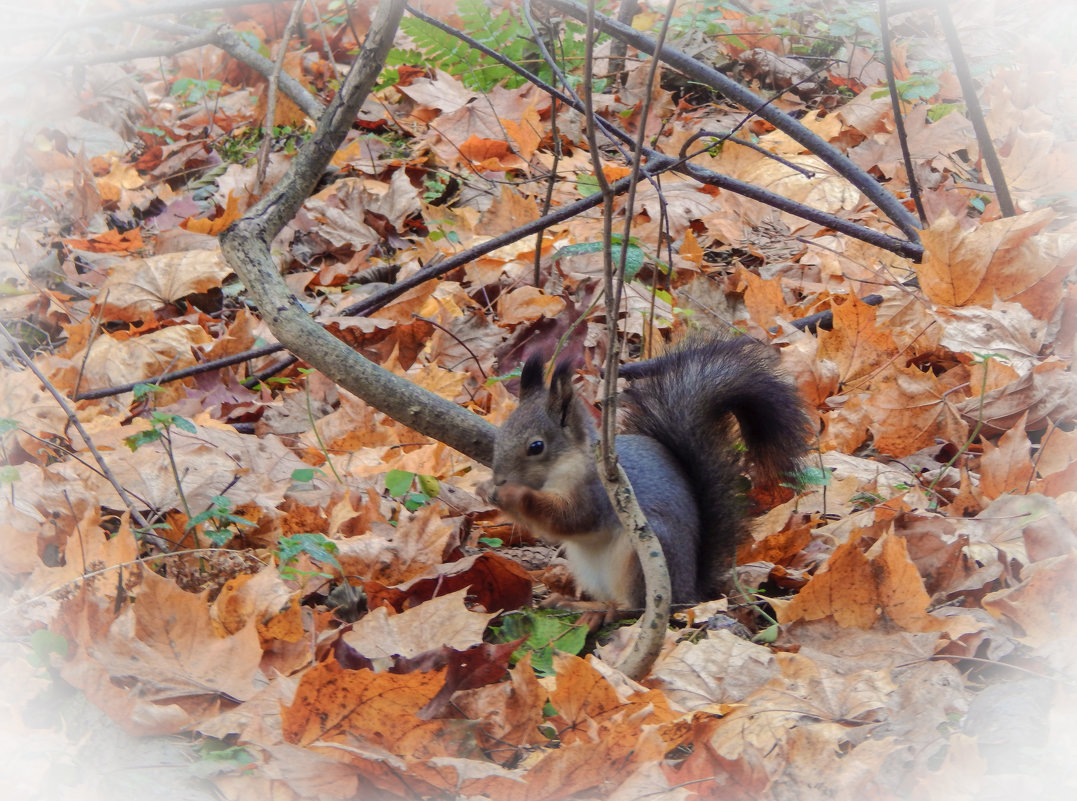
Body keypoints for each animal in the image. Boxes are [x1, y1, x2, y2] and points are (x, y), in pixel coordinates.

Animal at [486, 335, 809, 607]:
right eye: (502, 431)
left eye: (536, 446)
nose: (499, 478)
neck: (563, 468)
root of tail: (688, 591)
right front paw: (488, 491)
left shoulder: (598, 493)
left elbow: (570, 519)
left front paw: (514, 494)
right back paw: (571, 601)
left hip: (643, 558)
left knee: (633, 608)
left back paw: (596, 611)